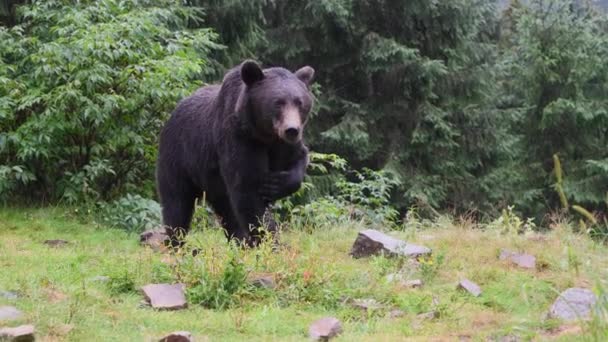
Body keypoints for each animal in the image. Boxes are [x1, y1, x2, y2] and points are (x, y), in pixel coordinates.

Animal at [154, 60, 316, 248]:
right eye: (278, 102)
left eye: (299, 102)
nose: (292, 130)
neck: (264, 134)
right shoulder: (239, 140)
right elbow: (248, 191)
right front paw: (270, 241)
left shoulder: (282, 145)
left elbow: (298, 159)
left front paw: (275, 184)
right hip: (179, 156)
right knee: (177, 202)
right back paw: (179, 244)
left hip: (213, 182)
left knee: (226, 210)